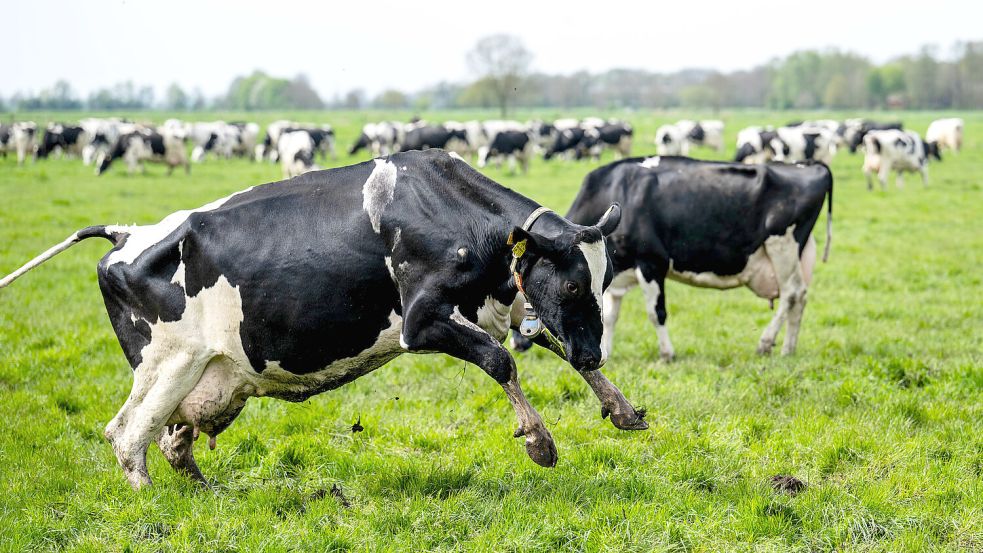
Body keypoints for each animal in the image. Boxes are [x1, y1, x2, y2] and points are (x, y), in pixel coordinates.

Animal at [0, 150, 644, 488]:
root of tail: (128, 233)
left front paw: (618, 405)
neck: (452, 211)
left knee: (172, 441)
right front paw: (539, 440)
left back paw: (206, 495)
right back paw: (153, 501)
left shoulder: (497, 305)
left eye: (603, 277)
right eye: (571, 282)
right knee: (128, 435)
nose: (597, 350)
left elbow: (552, 347)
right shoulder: (421, 322)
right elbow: (501, 359)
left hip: (206, 377)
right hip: (168, 363)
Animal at [516, 157, 832, 360]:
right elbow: (610, 313)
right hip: (798, 253)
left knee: (791, 294)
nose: (519, 343)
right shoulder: (613, 273)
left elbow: (656, 312)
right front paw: (608, 350)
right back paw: (788, 348)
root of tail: (810, 164)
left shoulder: (651, 262)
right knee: (801, 296)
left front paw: (667, 353)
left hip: (782, 246)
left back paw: (766, 342)